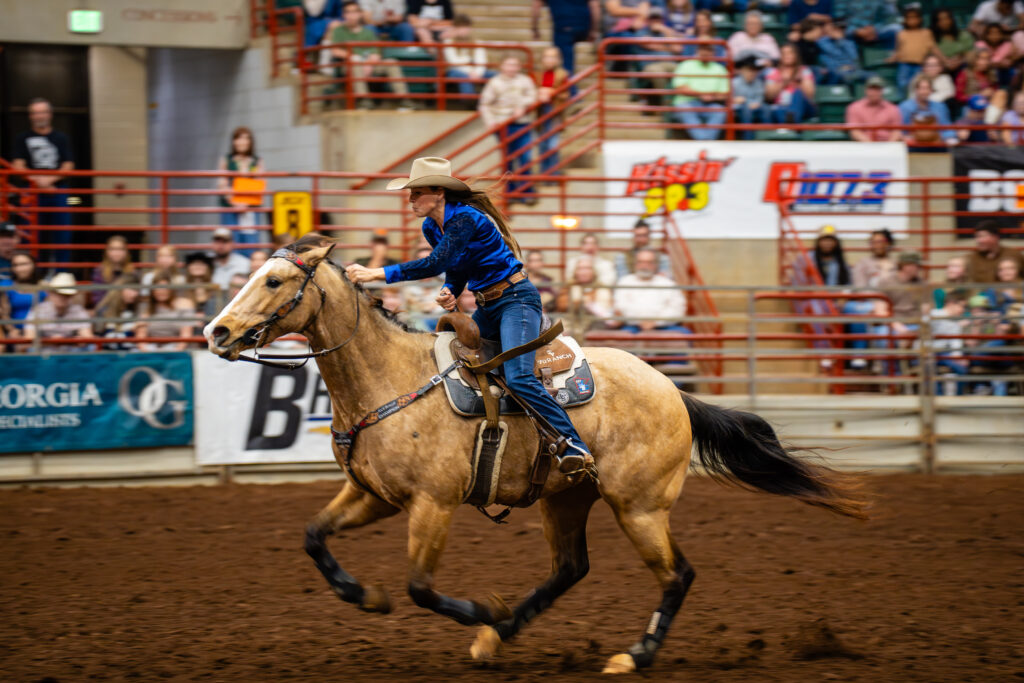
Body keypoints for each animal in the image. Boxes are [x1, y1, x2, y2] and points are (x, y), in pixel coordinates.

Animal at [204, 234, 867, 674]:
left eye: (273, 281)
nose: (216, 332)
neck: (386, 379)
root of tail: (673, 389)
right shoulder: (375, 495)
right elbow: (314, 537)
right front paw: (367, 596)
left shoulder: (433, 504)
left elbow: (420, 586)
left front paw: (481, 607)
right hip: (567, 498)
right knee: (570, 568)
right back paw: (500, 636)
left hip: (639, 506)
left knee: (677, 573)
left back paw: (632, 654)